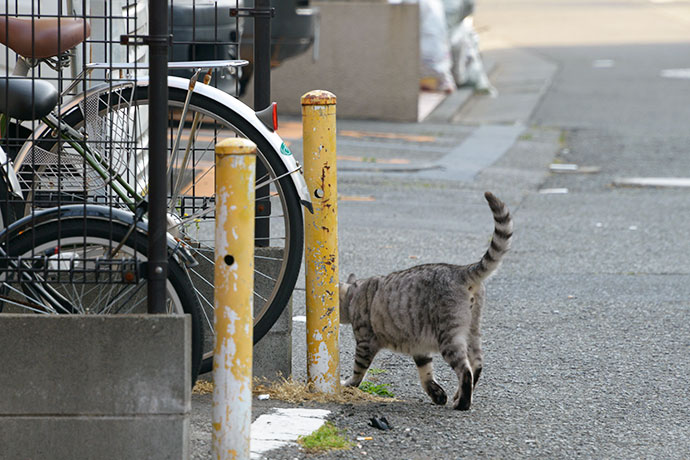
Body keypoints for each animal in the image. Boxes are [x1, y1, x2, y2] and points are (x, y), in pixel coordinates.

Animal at [338, 190, 510, 410]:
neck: (354, 293)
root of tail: (460, 270)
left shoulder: (365, 342)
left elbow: (358, 371)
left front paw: (348, 384)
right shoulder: (419, 348)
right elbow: (426, 373)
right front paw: (437, 394)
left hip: (449, 336)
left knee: (465, 370)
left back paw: (462, 403)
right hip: (472, 330)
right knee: (477, 365)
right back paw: (458, 396)